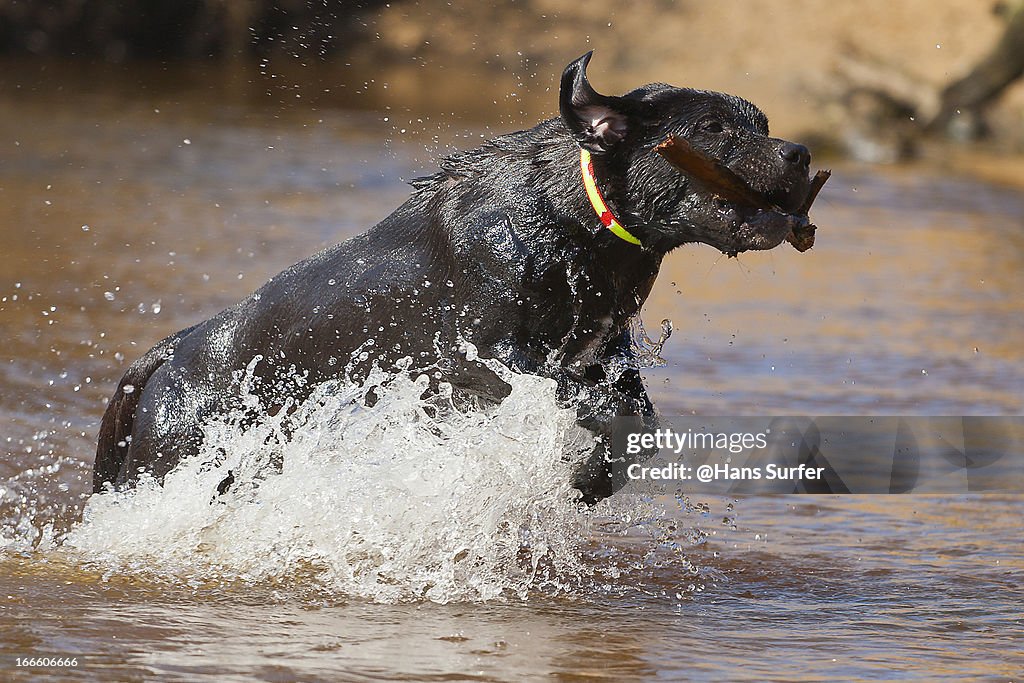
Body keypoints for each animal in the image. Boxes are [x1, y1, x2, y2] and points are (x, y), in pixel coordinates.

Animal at [97, 52, 815, 501]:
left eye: (764, 125)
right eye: (714, 128)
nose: (801, 152)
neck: (572, 218)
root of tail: (174, 352)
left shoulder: (601, 351)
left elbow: (636, 422)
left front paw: (590, 480)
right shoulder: (493, 356)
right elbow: (593, 405)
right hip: (172, 458)